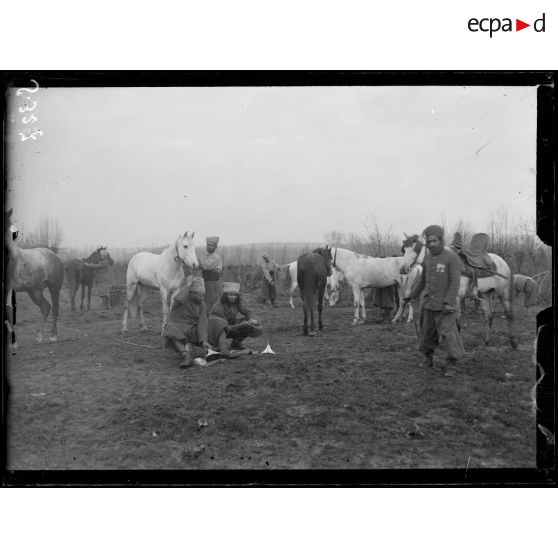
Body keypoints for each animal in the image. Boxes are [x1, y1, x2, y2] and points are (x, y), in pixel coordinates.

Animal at [4, 210, 66, 354]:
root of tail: (54, 255)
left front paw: (13, 345)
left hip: (54, 288)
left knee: (55, 308)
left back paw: (53, 336)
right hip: (34, 291)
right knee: (45, 307)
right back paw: (38, 337)